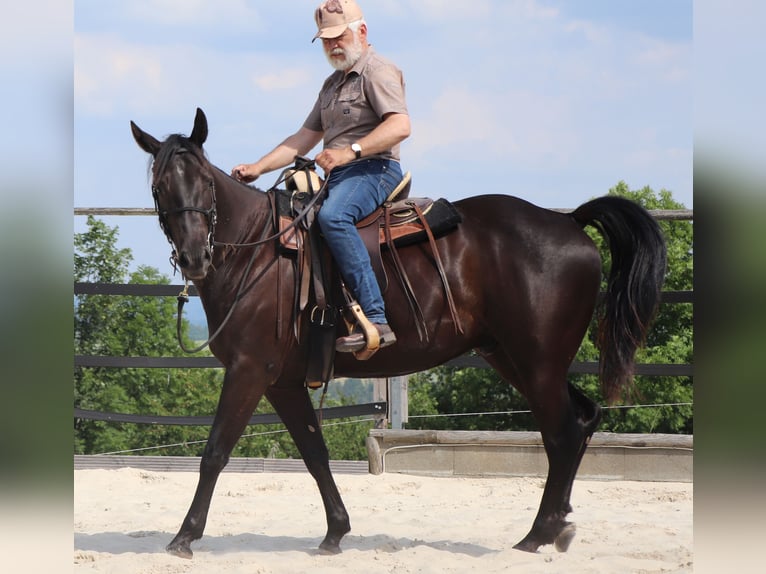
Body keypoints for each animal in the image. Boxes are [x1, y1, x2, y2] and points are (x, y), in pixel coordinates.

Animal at [130, 108, 666, 559]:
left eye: (204, 181)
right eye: (159, 188)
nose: (195, 256)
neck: (258, 252)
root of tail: (569, 221)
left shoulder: (249, 371)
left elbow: (215, 451)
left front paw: (184, 536)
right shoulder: (282, 382)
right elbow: (314, 453)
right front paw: (336, 531)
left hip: (537, 363)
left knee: (561, 433)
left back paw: (537, 534)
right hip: (515, 358)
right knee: (582, 419)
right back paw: (557, 527)